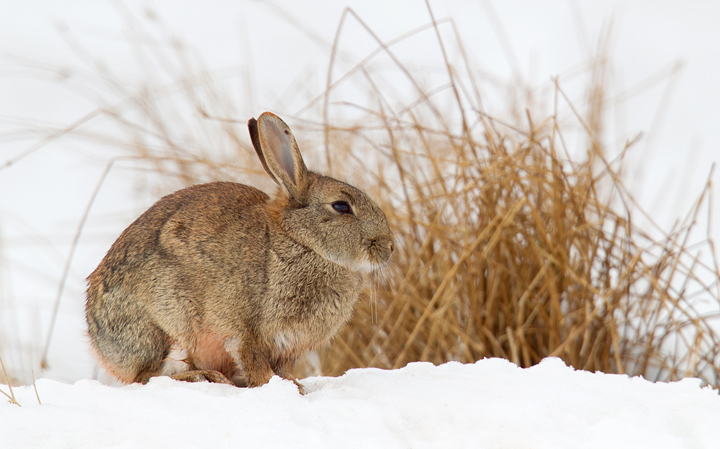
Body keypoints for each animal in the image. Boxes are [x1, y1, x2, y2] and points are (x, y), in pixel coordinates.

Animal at [88, 112, 400, 388]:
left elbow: (283, 370)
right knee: (148, 374)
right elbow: (254, 360)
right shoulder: (246, 328)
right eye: (341, 206)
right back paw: (204, 377)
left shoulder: (287, 347)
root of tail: (98, 339)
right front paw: (273, 386)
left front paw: (294, 386)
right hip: (168, 323)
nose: (389, 247)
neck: (302, 242)